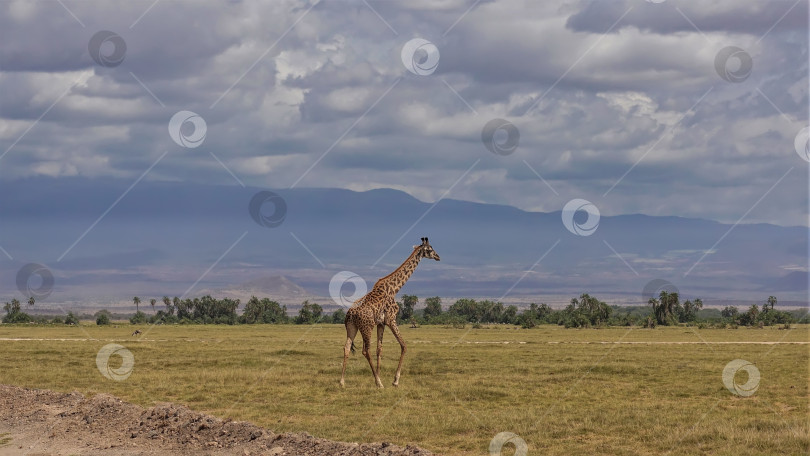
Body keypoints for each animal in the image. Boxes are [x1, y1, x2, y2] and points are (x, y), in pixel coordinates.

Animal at [340, 237, 442, 386]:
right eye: (430, 249)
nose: (438, 257)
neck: (394, 289)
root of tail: (351, 314)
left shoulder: (381, 323)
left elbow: (379, 349)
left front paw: (380, 375)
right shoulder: (391, 319)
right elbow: (404, 346)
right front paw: (395, 380)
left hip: (352, 327)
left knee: (347, 347)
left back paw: (342, 382)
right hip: (367, 327)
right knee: (365, 350)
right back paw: (379, 383)